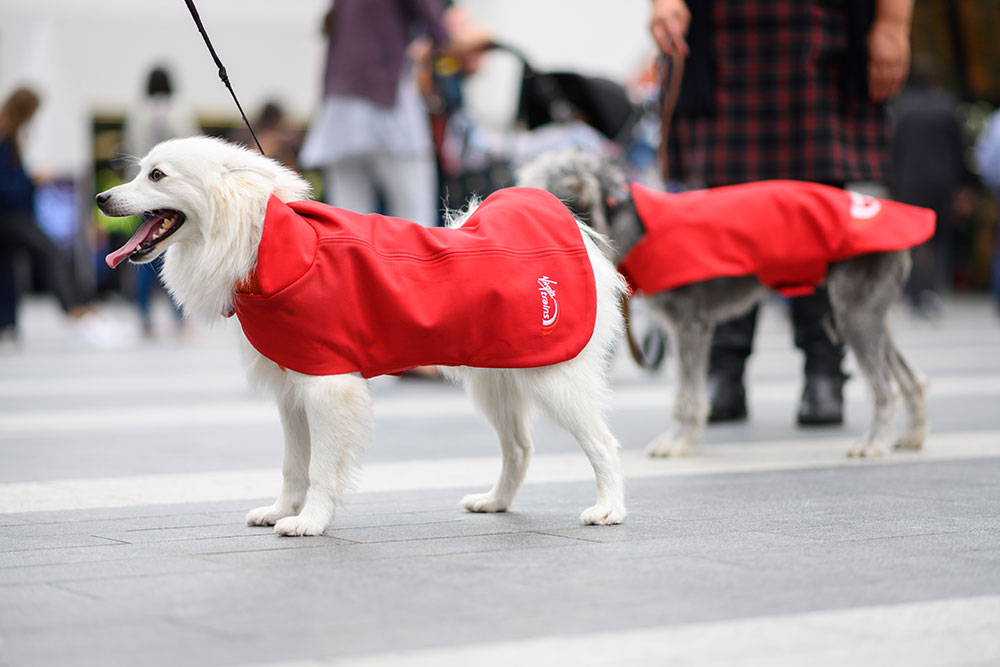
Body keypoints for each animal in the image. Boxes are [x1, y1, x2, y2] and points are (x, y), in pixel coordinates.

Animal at [94, 137, 624, 536]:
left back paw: (609, 510)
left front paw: (309, 522)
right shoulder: (293, 393)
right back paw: (495, 501)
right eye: (139, 172)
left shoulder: (327, 387)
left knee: (603, 445)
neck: (267, 243)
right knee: (519, 449)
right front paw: (282, 512)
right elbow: (293, 466)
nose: (100, 199)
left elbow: (321, 469)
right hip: (497, 382)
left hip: (556, 381)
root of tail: (574, 228)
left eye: (156, 176)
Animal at [520, 150, 924, 460]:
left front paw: (676, 444)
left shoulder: (690, 326)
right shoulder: (684, 329)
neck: (630, 224)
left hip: (855, 314)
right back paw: (912, 436)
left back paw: (874, 444)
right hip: (867, 314)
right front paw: (680, 440)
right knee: (910, 378)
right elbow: (686, 392)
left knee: (884, 388)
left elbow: (687, 396)